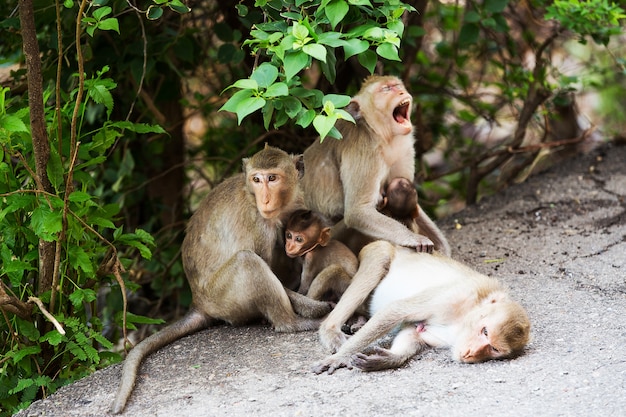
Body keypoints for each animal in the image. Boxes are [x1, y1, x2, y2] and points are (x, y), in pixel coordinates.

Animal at [114, 145, 334, 412]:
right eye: (256, 179)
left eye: (272, 178)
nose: (265, 199)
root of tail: (198, 302)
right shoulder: (256, 222)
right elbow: (266, 265)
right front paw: (315, 307)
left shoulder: (296, 205)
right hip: (221, 298)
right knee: (248, 261)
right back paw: (292, 323)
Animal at [300, 75, 446, 256]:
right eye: (386, 89)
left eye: (397, 85)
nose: (401, 92)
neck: (382, 135)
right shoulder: (364, 149)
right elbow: (358, 211)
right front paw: (414, 238)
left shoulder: (404, 147)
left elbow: (412, 202)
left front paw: (442, 248)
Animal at [310, 240, 528, 374]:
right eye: (485, 331)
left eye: (494, 348)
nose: (470, 353)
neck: (464, 318)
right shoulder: (455, 296)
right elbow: (395, 310)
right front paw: (339, 357)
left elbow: (413, 332)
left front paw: (387, 359)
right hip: (373, 252)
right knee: (379, 258)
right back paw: (332, 328)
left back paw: (358, 320)